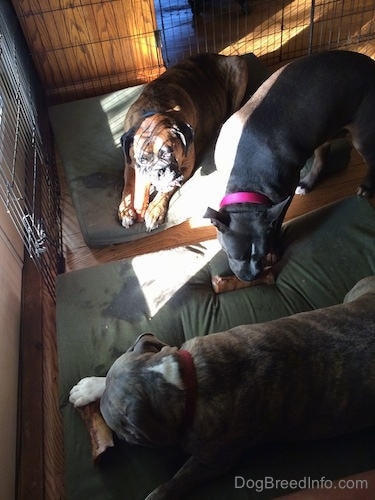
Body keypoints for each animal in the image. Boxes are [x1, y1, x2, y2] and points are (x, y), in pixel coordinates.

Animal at [119, 52, 250, 230]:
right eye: (143, 160)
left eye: (169, 153)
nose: (160, 171)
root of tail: (221, 56)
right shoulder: (130, 163)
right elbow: (128, 185)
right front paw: (125, 210)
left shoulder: (185, 167)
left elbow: (167, 190)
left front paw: (154, 210)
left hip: (238, 67)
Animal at [206, 52, 375, 284]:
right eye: (235, 255)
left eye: (260, 254)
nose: (251, 276)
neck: (248, 180)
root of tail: (371, 63)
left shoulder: (283, 195)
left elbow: (277, 223)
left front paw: (275, 249)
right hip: (322, 128)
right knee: (322, 156)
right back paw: (308, 183)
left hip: (363, 135)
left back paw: (367, 187)